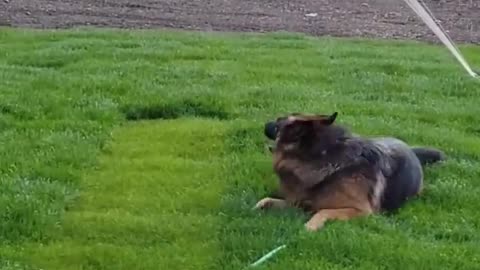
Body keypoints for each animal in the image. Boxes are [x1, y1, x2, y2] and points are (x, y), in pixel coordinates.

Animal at [255, 111, 446, 230]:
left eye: (278, 121)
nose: (264, 124)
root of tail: (410, 149)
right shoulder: (298, 201)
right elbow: (266, 200)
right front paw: (256, 207)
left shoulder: (361, 211)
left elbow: (323, 211)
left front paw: (309, 227)